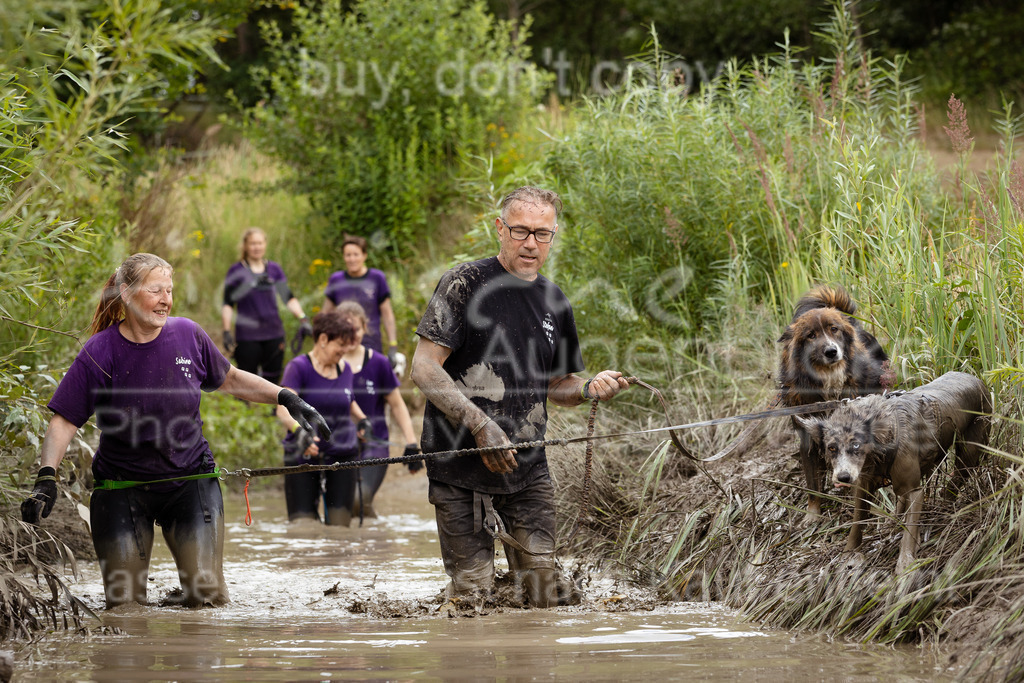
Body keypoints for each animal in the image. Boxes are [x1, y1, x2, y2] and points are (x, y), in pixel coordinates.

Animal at [778, 286, 892, 516]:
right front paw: (813, 515)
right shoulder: (808, 436)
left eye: (834, 329)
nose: (831, 351)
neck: (829, 378)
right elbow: (812, 484)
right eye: (811, 335)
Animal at [790, 370, 991, 573]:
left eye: (856, 445)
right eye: (831, 448)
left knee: (955, 481)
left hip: (970, 452)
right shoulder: (864, 486)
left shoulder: (915, 490)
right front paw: (848, 553)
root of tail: (974, 377)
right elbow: (857, 522)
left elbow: (910, 529)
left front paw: (905, 563)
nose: (843, 477)